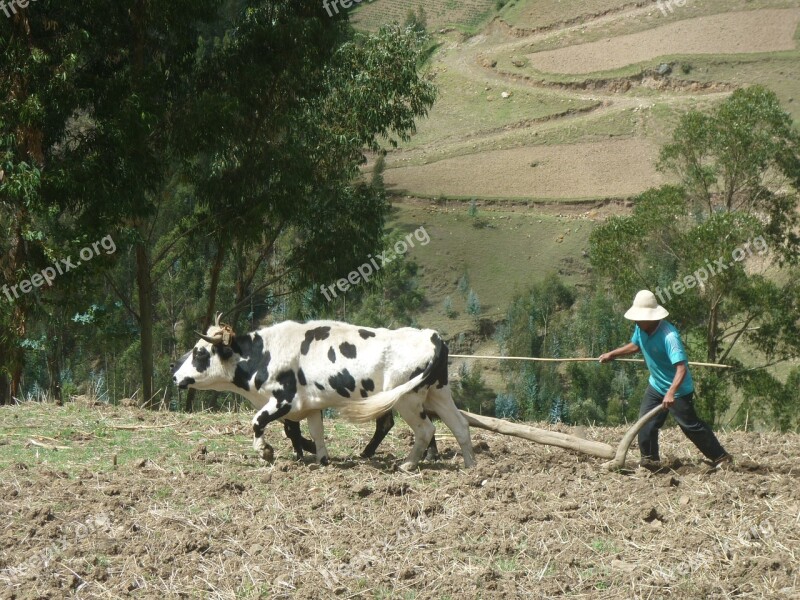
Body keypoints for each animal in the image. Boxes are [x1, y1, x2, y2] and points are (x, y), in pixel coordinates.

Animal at [173, 318, 476, 468]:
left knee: (425, 429)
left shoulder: (284, 400)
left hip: (408, 400)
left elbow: (258, 422)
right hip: (437, 393)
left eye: (200, 352)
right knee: (459, 425)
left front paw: (266, 452)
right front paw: (321, 459)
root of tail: (431, 336)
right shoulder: (310, 405)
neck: (265, 353)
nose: (174, 374)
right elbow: (315, 432)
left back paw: (408, 464)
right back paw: (471, 466)